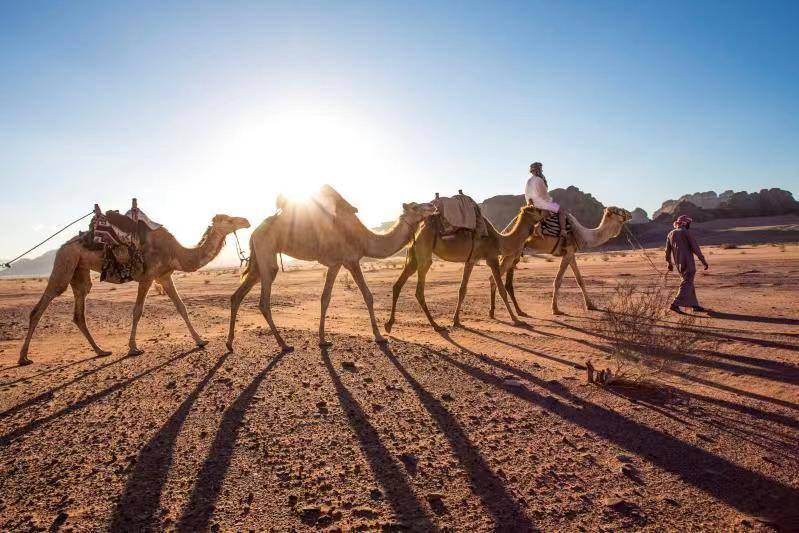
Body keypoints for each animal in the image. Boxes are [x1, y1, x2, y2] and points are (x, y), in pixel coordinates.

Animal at [18, 214, 250, 364]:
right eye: (229, 220)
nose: (246, 221)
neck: (176, 252)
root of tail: (63, 246)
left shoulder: (164, 276)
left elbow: (181, 307)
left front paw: (200, 340)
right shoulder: (147, 277)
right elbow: (137, 311)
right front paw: (133, 348)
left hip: (80, 271)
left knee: (79, 312)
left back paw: (100, 351)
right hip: (65, 261)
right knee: (42, 304)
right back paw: (24, 357)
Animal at [225, 191, 438, 354]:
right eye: (415, 206)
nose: (433, 205)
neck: (365, 239)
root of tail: (253, 233)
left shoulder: (335, 264)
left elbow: (325, 298)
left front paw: (322, 339)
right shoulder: (350, 260)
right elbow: (367, 296)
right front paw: (379, 336)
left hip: (257, 262)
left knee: (237, 295)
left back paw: (229, 343)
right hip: (267, 253)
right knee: (263, 301)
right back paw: (284, 344)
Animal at [384, 204, 548, 332]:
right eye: (537, 209)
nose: (549, 212)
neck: (500, 241)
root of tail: (417, 228)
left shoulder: (471, 260)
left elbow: (462, 290)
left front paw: (456, 320)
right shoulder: (492, 258)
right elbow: (502, 290)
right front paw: (517, 320)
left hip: (413, 256)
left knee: (397, 285)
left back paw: (389, 324)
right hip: (425, 253)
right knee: (419, 291)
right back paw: (436, 325)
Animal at [488, 206, 632, 318]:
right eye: (618, 210)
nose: (629, 214)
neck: (584, 235)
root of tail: (506, 230)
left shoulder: (571, 254)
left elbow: (580, 280)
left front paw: (590, 305)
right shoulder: (568, 251)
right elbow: (558, 281)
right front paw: (555, 309)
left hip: (516, 253)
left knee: (506, 282)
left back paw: (513, 312)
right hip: (512, 253)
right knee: (493, 278)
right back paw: (494, 312)